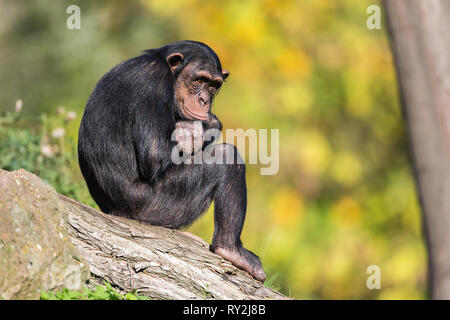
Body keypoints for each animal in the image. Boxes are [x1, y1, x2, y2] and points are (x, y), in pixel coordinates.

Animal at [78, 40, 266, 282]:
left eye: (213, 86)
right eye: (199, 81)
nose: (204, 100)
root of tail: (113, 212)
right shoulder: (153, 82)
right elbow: (155, 153)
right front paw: (209, 124)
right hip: (157, 208)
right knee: (227, 158)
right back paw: (230, 249)